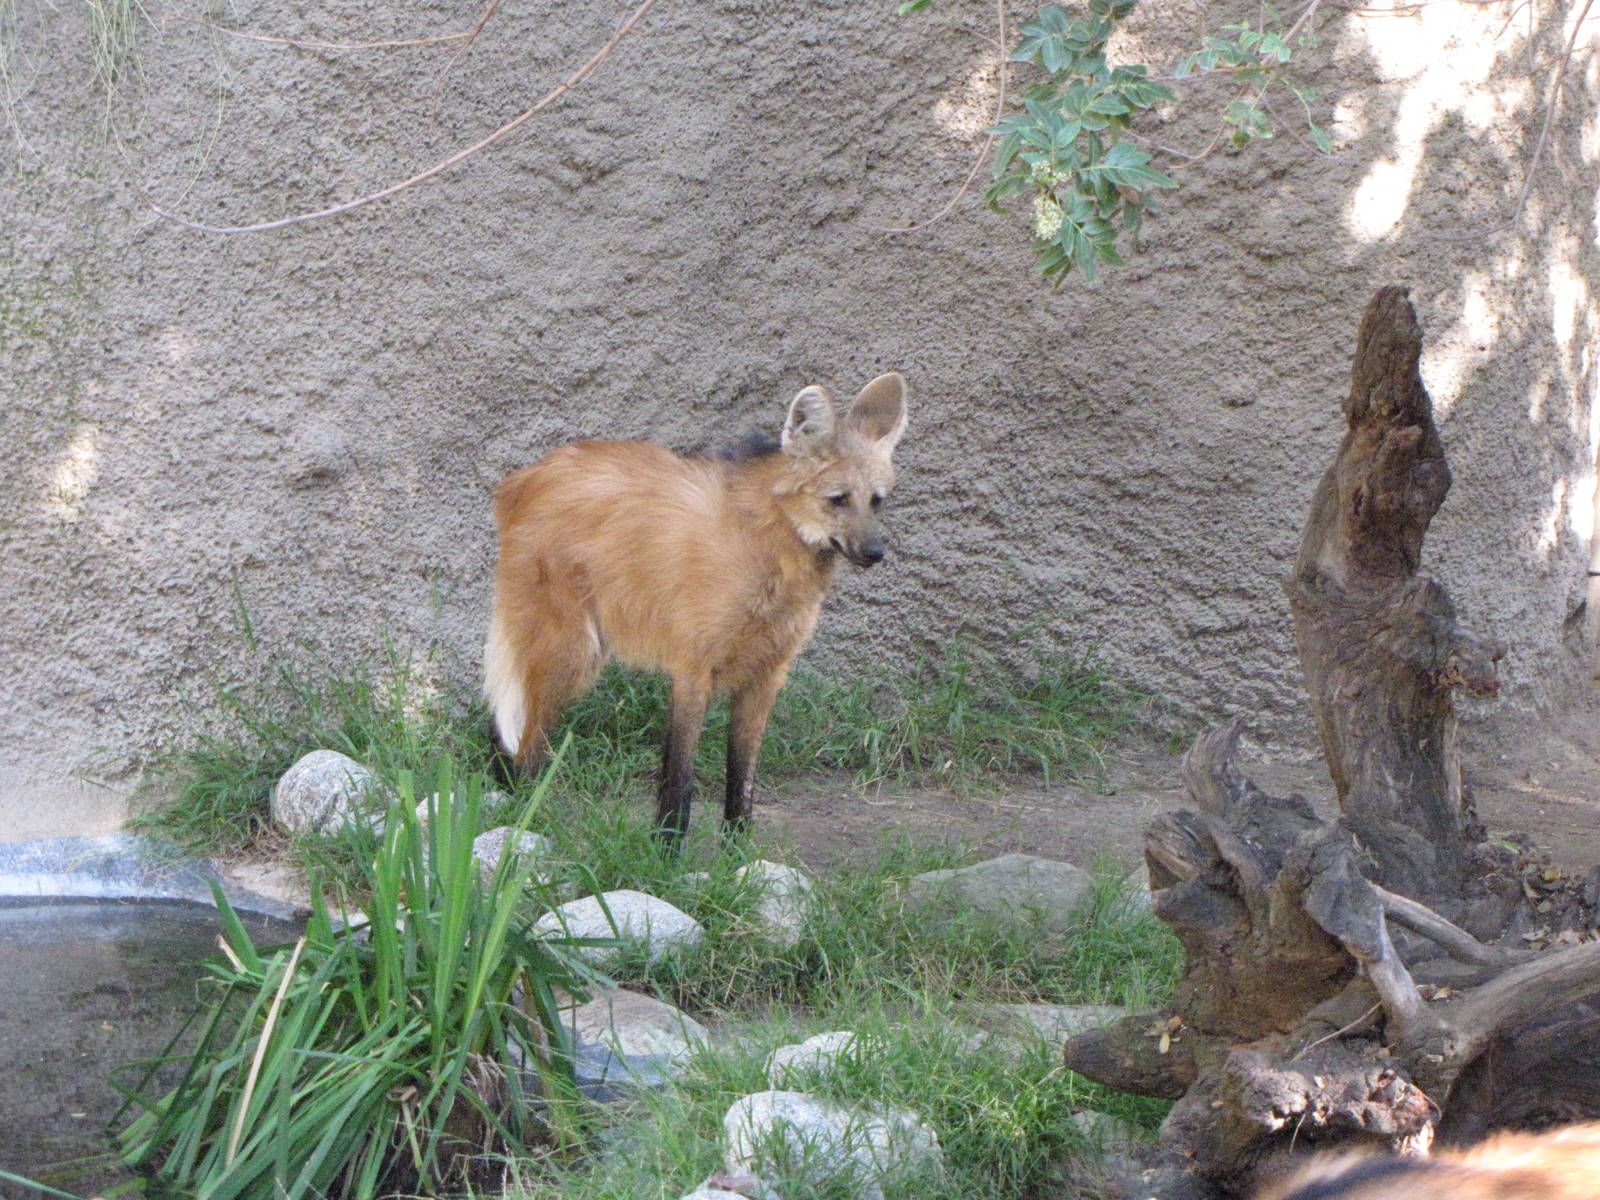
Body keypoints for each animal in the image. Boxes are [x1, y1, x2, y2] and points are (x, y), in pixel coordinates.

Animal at [485, 372, 909, 840]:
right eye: (838, 498)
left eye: (876, 500)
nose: (875, 553)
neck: (772, 552)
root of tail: (525, 476)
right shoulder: (693, 668)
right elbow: (679, 778)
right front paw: (665, 849)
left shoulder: (766, 676)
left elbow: (741, 779)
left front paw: (737, 853)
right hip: (574, 649)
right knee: (525, 740)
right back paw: (522, 818)